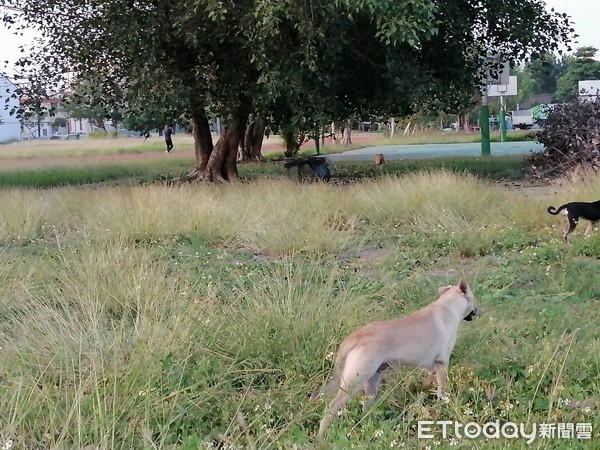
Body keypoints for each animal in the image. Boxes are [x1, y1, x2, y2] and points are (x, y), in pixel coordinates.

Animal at [314, 278, 478, 436]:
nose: (477, 311)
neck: (448, 306)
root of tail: (356, 336)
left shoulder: (432, 366)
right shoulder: (442, 362)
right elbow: (442, 389)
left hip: (372, 380)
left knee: (366, 407)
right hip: (354, 381)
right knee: (331, 409)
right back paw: (322, 437)